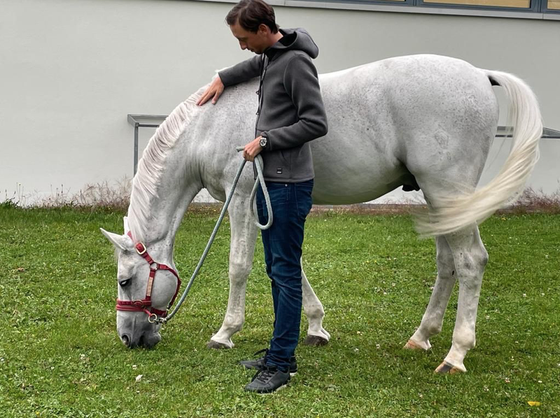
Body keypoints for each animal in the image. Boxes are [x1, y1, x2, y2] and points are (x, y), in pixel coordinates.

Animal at [101, 54, 544, 372]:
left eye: (125, 281)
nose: (127, 338)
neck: (210, 125)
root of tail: (480, 75)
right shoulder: (272, 207)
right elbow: (290, 265)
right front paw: (315, 326)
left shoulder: (242, 198)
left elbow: (240, 266)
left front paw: (225, 332)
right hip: (442, 201)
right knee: (447, 263)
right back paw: (421, 336)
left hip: (447, 192)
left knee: (471, 262)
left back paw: (456, 354)